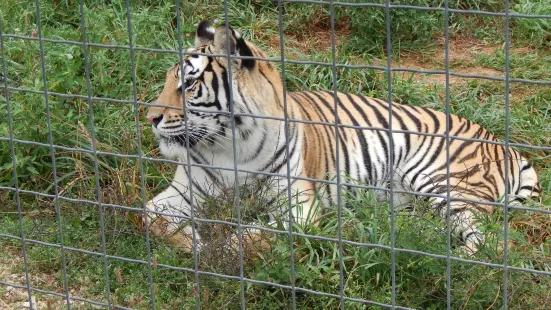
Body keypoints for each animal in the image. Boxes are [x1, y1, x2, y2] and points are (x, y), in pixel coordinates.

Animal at [144, 20, 540, 256]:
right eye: (167, 79)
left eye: (189, 84)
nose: (150, 117)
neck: (229, 146)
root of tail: (502, 144)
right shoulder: (184, 191)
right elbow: (149, 216)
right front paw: (192, 241)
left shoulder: (297, 208)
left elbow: (244, 238)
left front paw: (213, 250)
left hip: (443, 183)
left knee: (486, 245)